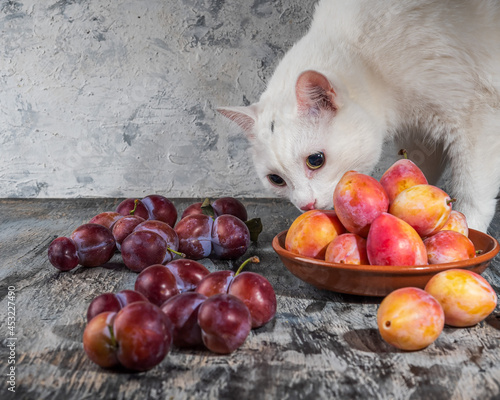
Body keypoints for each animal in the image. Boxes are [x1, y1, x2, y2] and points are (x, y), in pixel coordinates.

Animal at [220, 0, 500, 233]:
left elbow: (473, 193)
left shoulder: (476, 116)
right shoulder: (421, 136)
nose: (306, 205)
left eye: (315, 160)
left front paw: (468, 231)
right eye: (276, 180)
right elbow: (420, 169)